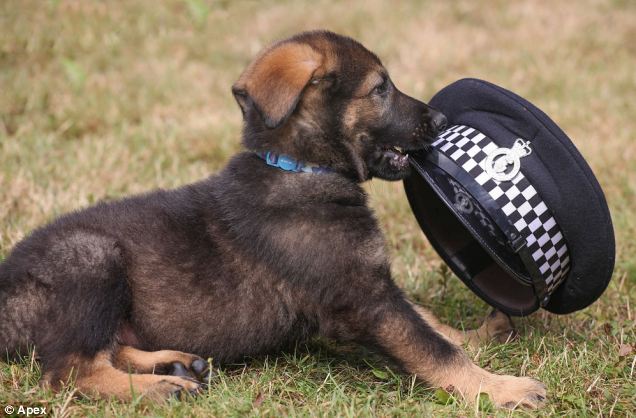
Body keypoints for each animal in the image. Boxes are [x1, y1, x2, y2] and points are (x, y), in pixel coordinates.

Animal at [0, 30, 548, 408]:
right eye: (380, 88)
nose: (439, 121)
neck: (297, 167)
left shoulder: (374, 283)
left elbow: (430, 322)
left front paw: (474, 336)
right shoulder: (364, 298)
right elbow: (431, 347)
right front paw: (499, 387)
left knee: (104, 347)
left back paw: (174, 364)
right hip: (91, 256)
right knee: (70, 368)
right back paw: (157, 389)